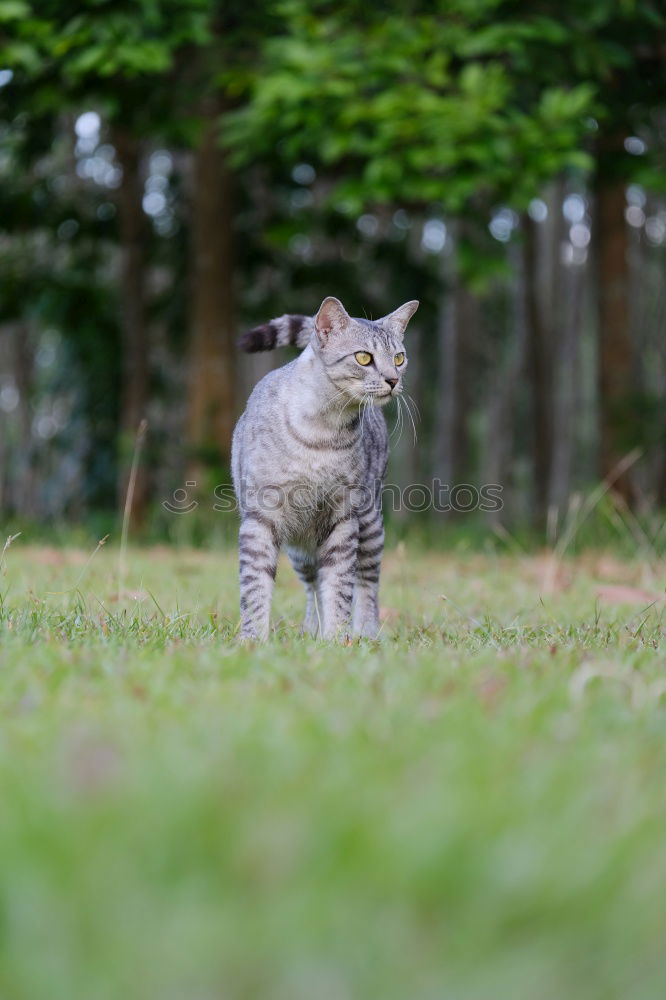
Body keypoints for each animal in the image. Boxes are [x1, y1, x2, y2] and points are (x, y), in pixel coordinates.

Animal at [232, 296, 416, 640]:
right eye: (363, 357)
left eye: (399, 358)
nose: (393, 379)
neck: (322, 431)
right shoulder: (261, 516)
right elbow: (255, 587)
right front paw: (253, 640)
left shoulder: (342, 517)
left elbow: (340, 586)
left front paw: (336, 640)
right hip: (300, 548)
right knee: (312, 584)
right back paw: (310, 631)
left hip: (370, 523)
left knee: (367, 582)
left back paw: (365, 633)